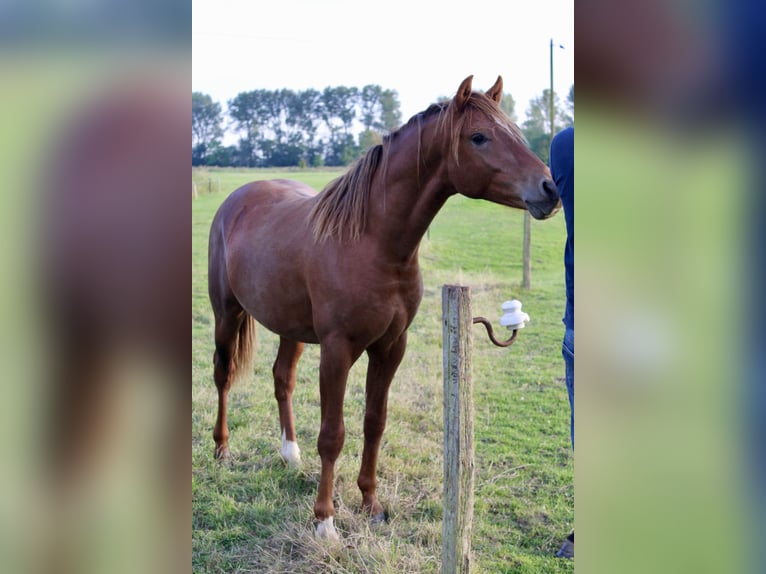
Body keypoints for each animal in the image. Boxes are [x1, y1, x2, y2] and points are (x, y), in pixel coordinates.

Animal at [207, 75, 560, 540]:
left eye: (515, 131)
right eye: (479, 137)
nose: (550, 190)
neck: (372, 242)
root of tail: (239, 197)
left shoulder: (391, 347)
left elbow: (374, 422)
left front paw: (371, 504)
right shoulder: (337, 350)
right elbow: (333, 434)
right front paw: (325, 521)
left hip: (290, 327)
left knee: (282, 379)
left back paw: (290, 454)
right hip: (226, 314)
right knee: (224, 375)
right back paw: (222, 449)